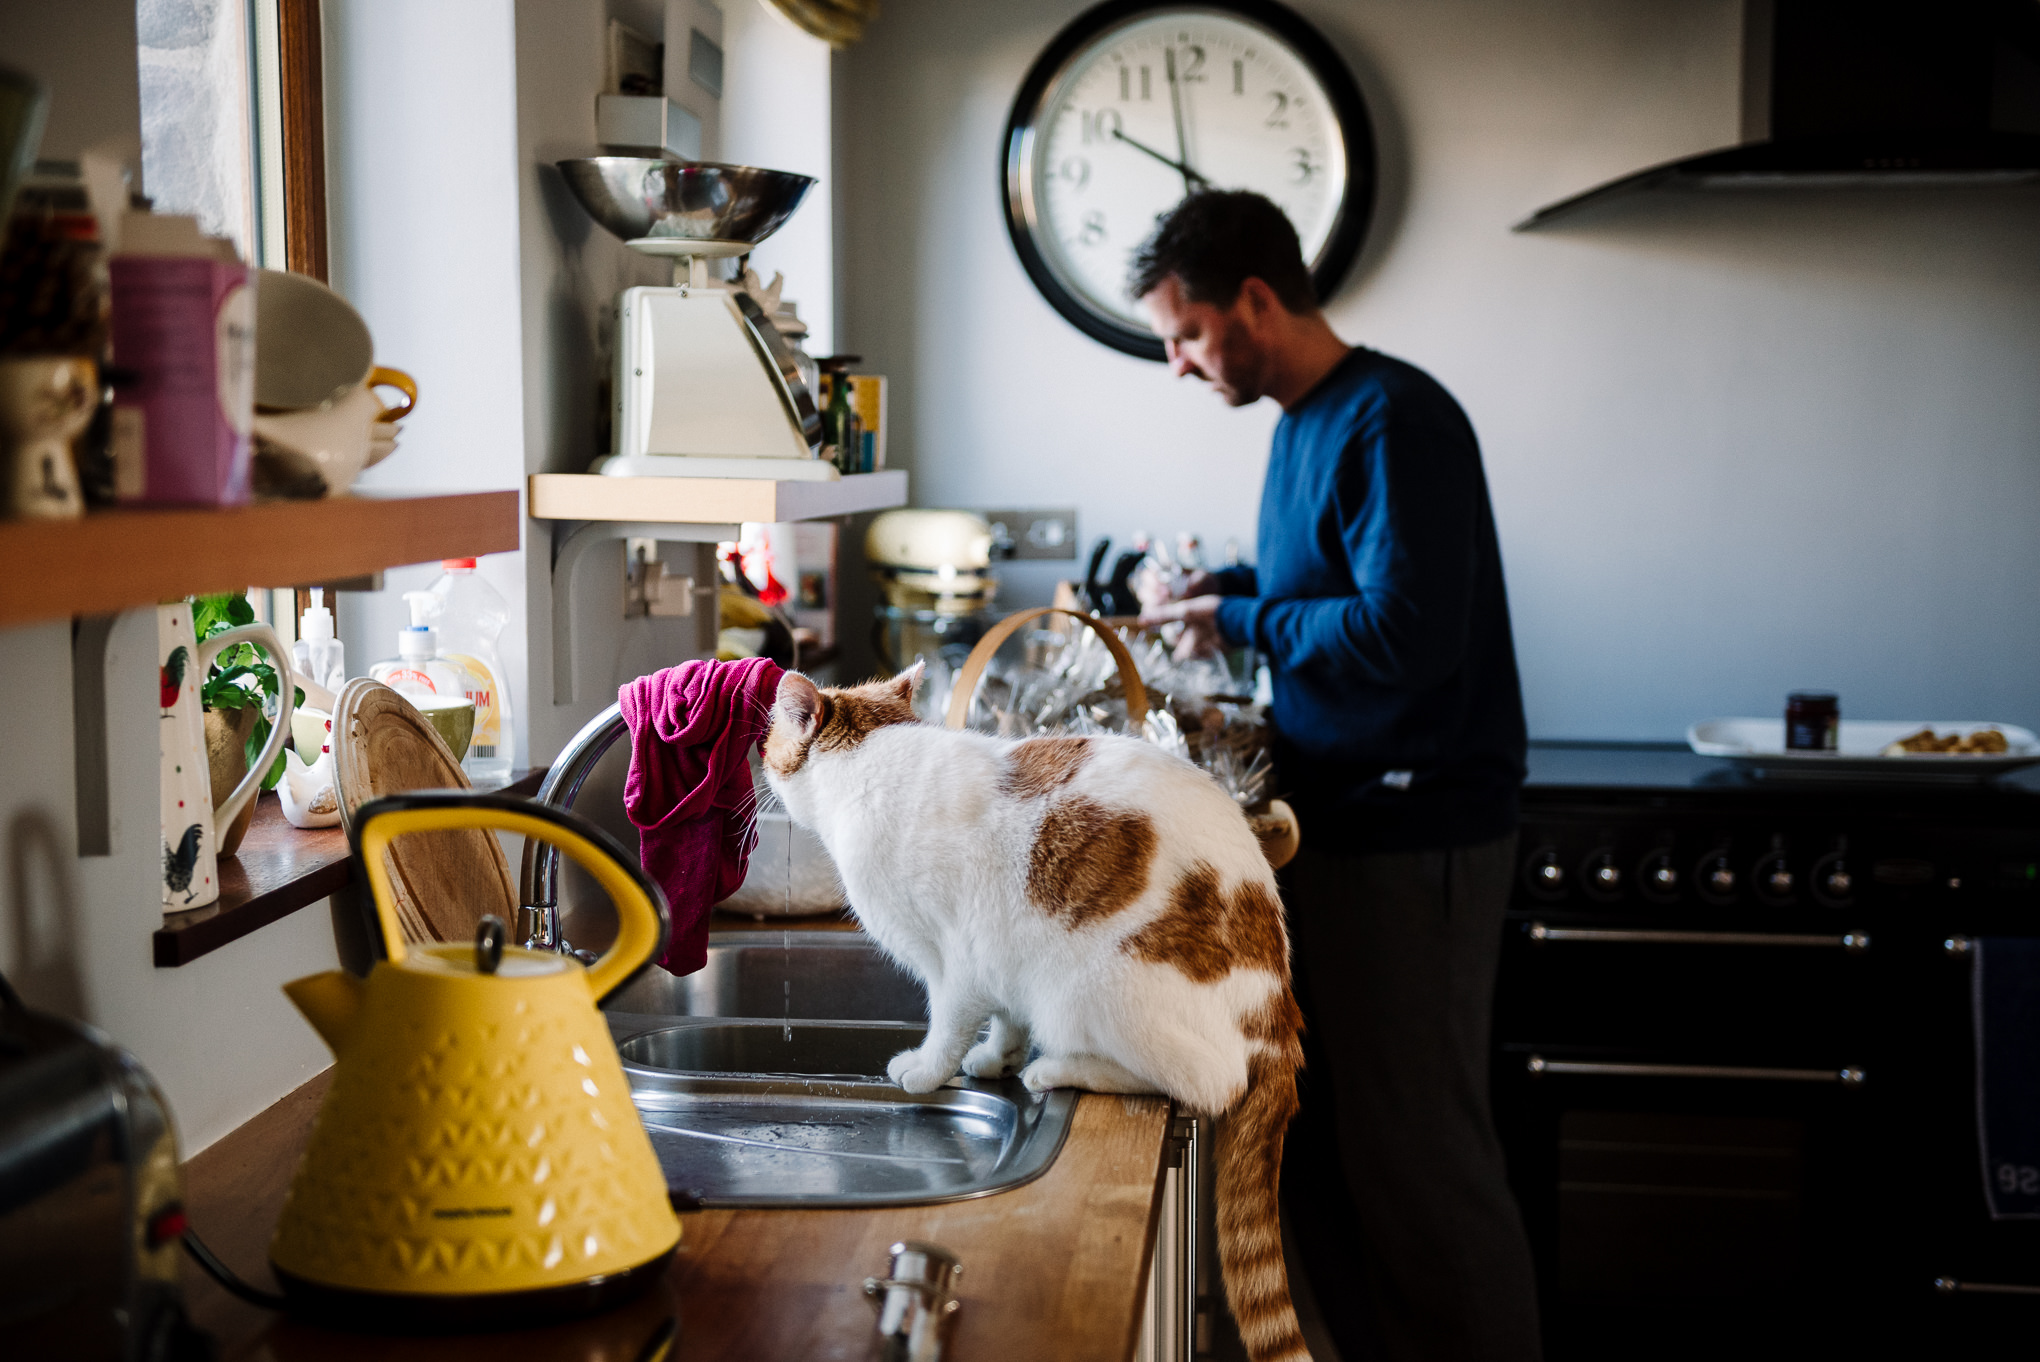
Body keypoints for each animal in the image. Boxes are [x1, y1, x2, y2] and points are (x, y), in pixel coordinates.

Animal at [762, 664, 1305, 1353]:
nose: (759, 770)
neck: (869, 761)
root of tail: (1277, 999)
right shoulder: (998, 955)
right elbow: (1003, 1019)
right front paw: (995, 1057)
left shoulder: (956, 964)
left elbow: (948, 1026)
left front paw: (929, 1070)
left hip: (1087, 989)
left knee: (1206, 1082)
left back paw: (1060, 1068)